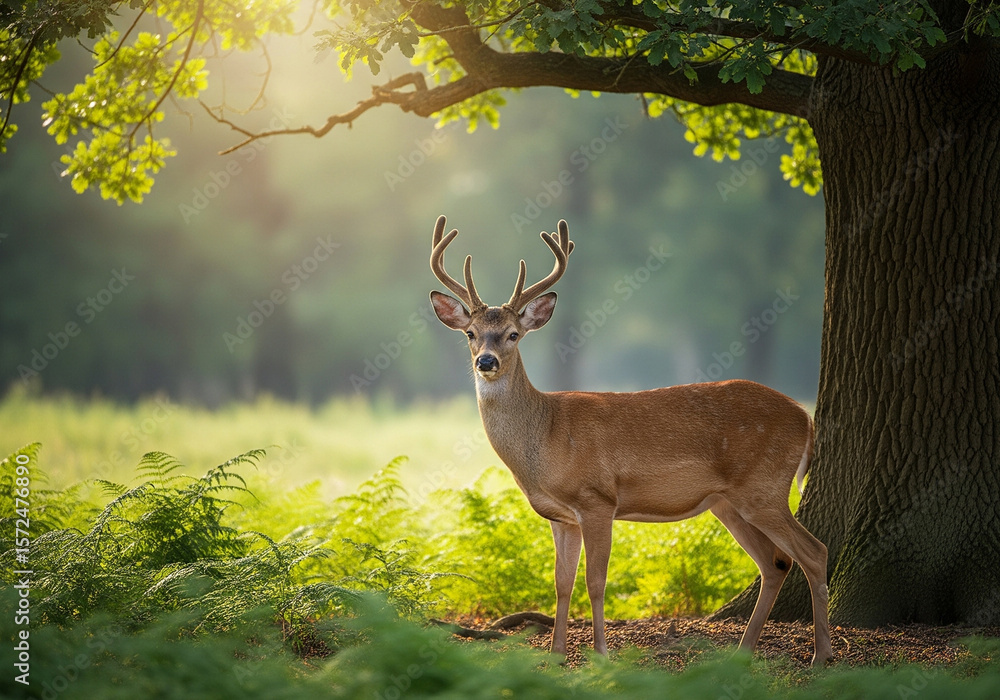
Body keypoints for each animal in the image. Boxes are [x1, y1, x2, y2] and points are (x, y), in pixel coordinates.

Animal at [428, 215, 833, 667]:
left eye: (513, 334)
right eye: (471, 333)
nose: (486, 361)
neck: (546, 437)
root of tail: (806, 417)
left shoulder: (598, 500)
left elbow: (595, 581)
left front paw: (601, 654)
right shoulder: (560, 516)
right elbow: (562, 583)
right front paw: (556, 655)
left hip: (764, 487)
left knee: (813, 552)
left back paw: (822, 656)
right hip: (728, 502)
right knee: (774, 563)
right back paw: (743, 652)